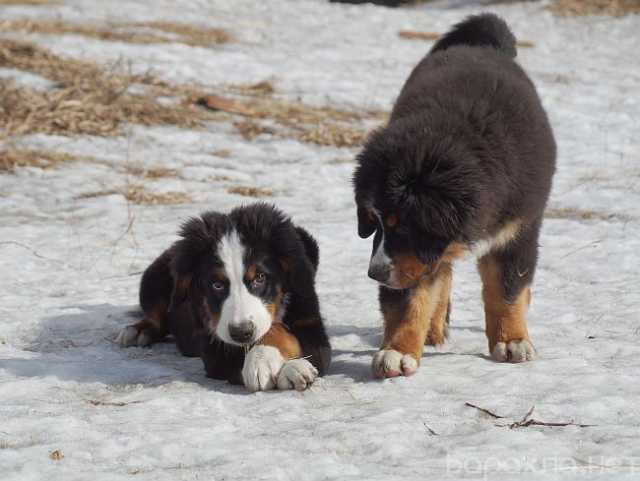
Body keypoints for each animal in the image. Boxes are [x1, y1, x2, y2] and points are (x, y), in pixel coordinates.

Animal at [117, 202, 332, 390]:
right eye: (217, 285)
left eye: (260, 277)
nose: (241, 332)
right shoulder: (215, 347)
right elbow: (259, 341)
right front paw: (274, 364)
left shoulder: (312, 326)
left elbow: (282, 333)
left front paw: (276, 363)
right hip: (152, 279)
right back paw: (138, 331)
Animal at [352, 13, 556, 376]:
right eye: (374, 221)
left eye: (403, 225)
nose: (374, 273)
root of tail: (482, 46)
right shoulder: (414, 256)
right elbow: (408, 301)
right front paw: (398, 351)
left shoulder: (516, 231)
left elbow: (507, 290)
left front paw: (512, 341)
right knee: (442, 274)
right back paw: (433, 329)